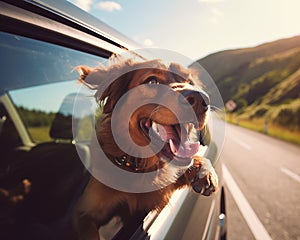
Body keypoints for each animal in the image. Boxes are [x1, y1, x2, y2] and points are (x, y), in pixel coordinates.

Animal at [72, 57, 218, 239]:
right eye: (152, 81)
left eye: (189, 82)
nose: (200, 99)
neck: (138, 165)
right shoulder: (84, 213)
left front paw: (205, 172)